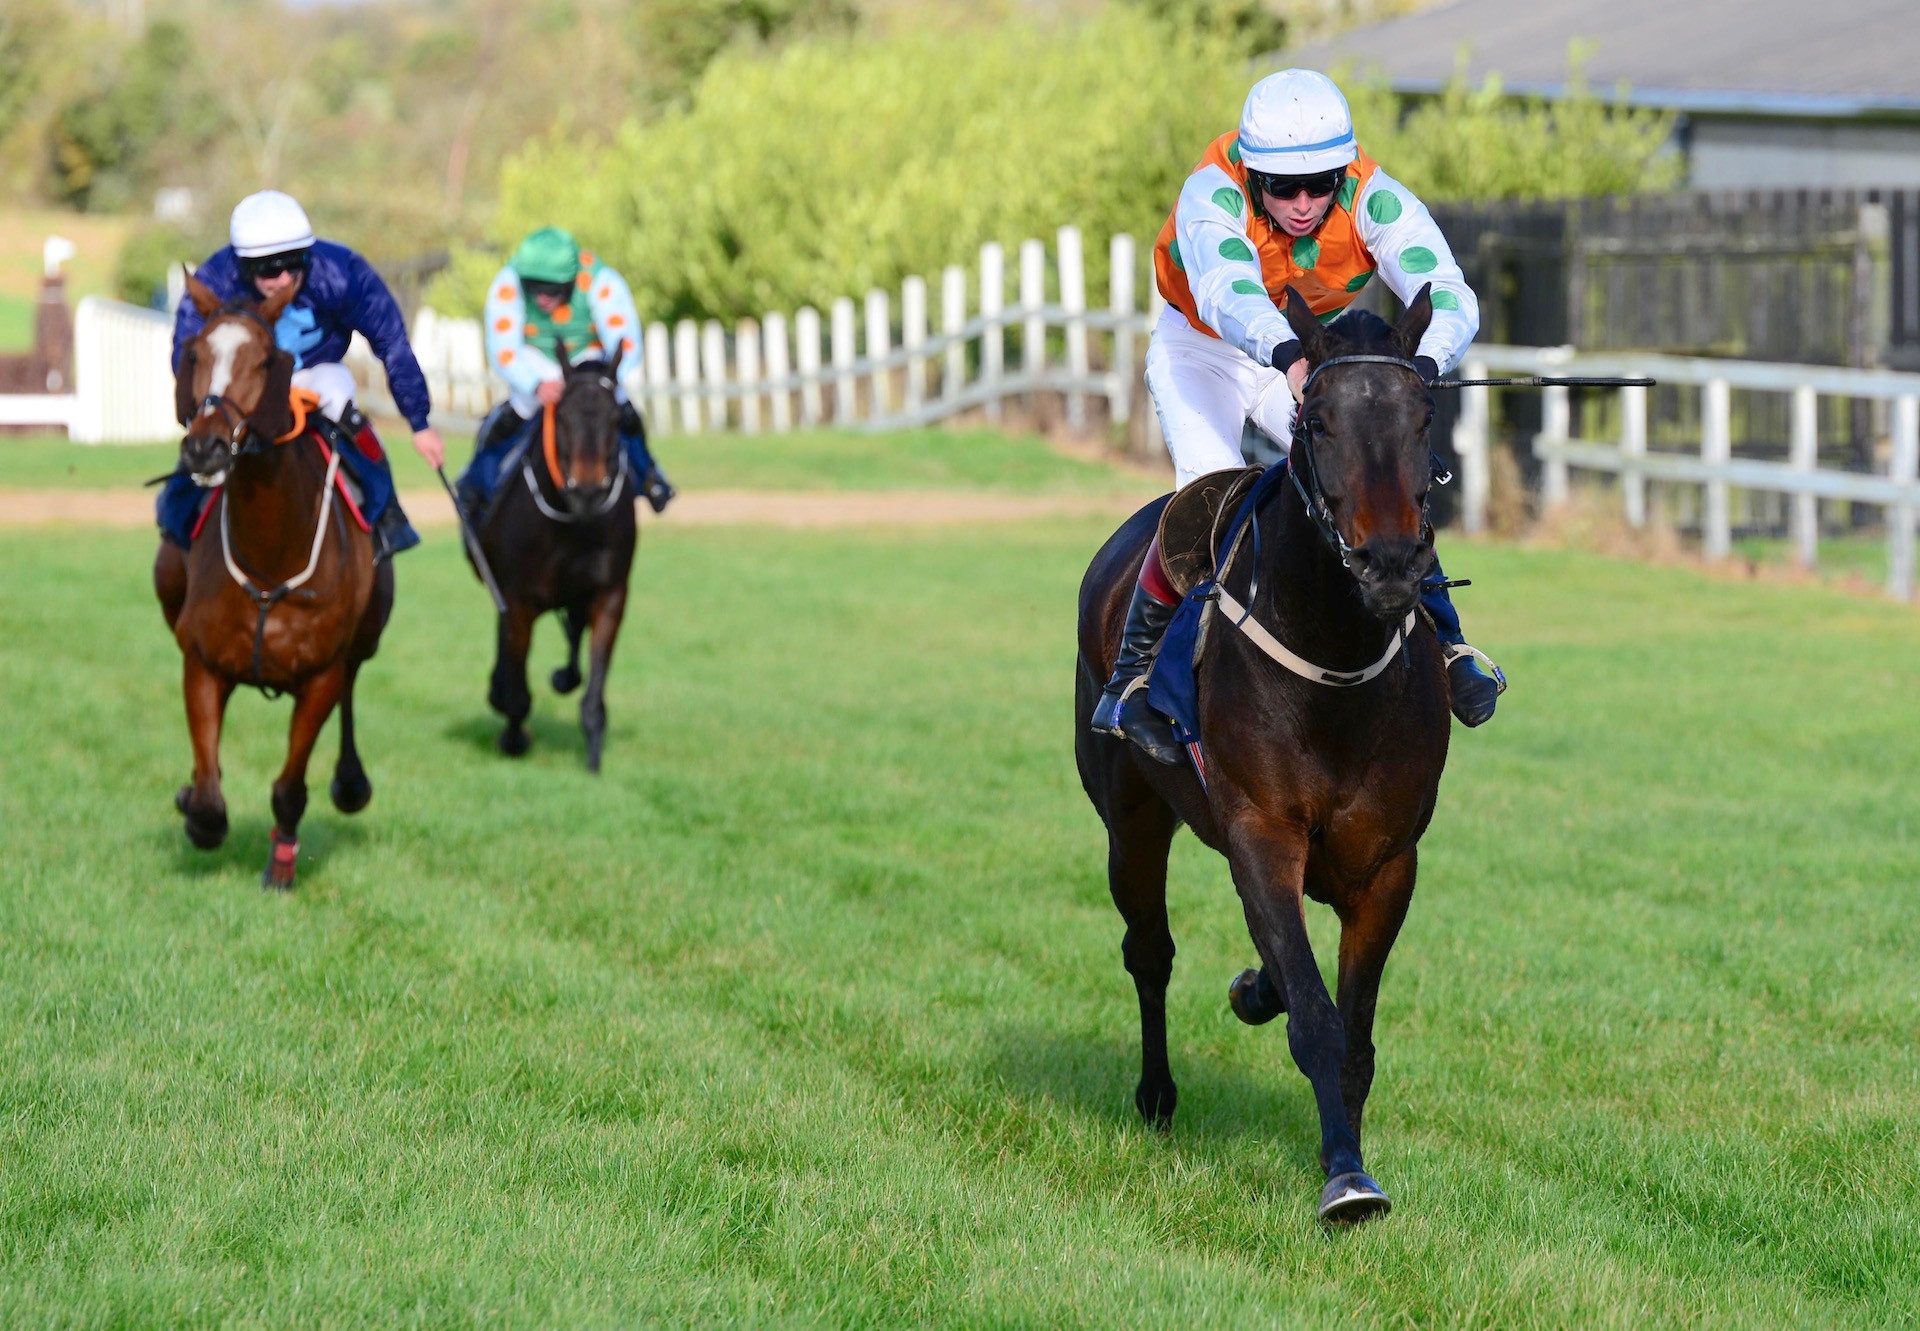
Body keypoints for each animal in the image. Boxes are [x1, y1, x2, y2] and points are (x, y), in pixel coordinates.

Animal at [152, 268, 393, 887]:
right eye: (195, 353)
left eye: (264, 360)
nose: (206, 447)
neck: (271, 555)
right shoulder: (203, 661)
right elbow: (209, 802)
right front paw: (194, 804)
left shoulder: (322, 675)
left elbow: (289, 788)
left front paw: (280, 868)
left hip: (368, 635)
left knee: (355, 684)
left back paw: (351, 782)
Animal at [470, 347, 637, 772]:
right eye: (562, 416)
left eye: (618, 419)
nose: (589, 491)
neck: (573, 524)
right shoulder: (518, 599)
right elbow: (516, 691)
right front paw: (513, 738)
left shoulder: (610, 595)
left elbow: (593, 688)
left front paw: (593, 756)